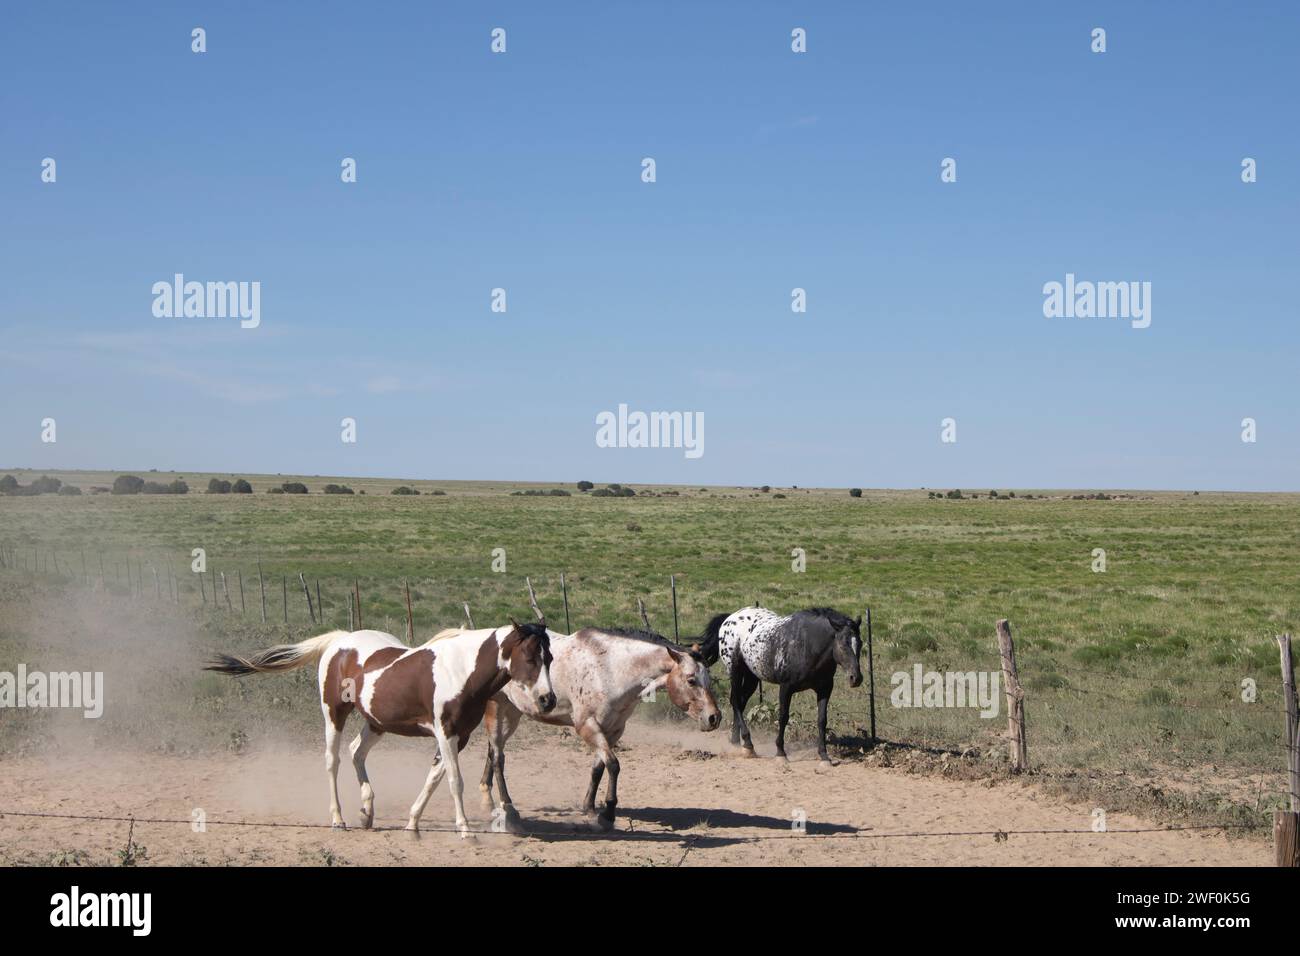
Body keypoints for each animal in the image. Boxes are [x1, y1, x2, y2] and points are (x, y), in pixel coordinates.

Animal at [204, 620, 554, 836]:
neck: (460, 670)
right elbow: (455, 781)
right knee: (333, 761)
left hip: (376, 723)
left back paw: (366, 811)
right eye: (529, 656)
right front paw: (465, 829)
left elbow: (434, 778)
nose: (547, 699)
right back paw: (338, 819)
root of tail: (339, 641)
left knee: (357, 752)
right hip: (334, 714)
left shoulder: (460, 736)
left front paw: (412, 823)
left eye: (549, 657)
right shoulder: (446, 733)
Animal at [477, 626, 721, 832]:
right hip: (499, 711)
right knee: (498, 757)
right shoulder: (588, 726)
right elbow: (613, 765)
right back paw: (509, 811)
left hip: (512, 712)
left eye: (708, 679)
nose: (714, 718)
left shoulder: (612, 730)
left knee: (491, 752)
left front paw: (589, 807)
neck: (610, 670)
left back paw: (487, 800)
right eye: (691, 680)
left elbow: (598, 768)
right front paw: (608, 814)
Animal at [698, 606, 862, 765]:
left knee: (740, 703)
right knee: (736, 702)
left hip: (752, 677)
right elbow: (783, 717)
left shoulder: (825, 689)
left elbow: (822, 720)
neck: (807, 644)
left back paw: (737, 744)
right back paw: (748, 744)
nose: (856, 678)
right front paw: (781, 753)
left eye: (860, 643)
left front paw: (824, 756)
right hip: (735, 671)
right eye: (843, 644)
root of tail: (729, 619)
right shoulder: (786, 688)